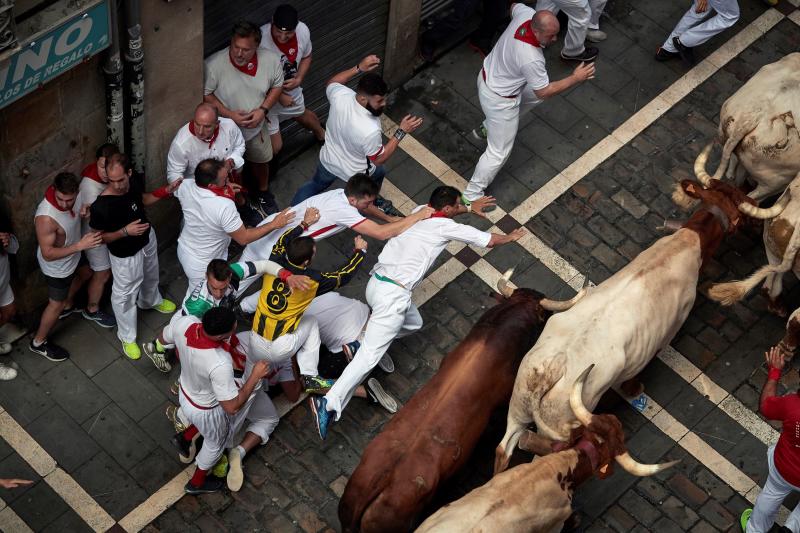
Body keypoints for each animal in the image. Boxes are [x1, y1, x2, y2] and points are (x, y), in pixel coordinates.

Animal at [494, 180, 756, 474]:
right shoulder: (670, 329)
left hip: (518, 403)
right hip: (559, 427)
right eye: (737, 218)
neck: (686, 242)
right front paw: (634, 389)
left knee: (503, 450)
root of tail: (552, 369)